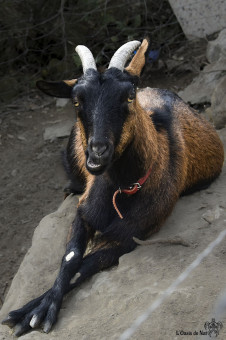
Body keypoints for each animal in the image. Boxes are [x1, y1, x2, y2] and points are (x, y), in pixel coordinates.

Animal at [2, 39, 224, 334]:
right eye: (76, 100)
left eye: (129, 96)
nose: (97, 153)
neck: (121, 187)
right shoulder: (83, 212)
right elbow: (71, 257)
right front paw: (30, 311)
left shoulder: (129, 236)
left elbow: (84, 266)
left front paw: (34, 313)